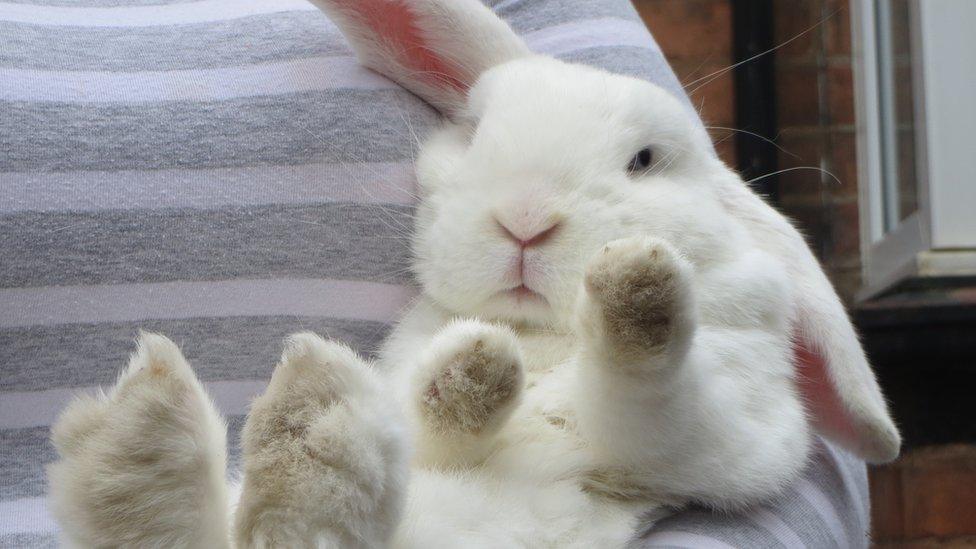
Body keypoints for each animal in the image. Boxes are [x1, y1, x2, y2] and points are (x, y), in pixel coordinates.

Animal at [47, 1, 900, 548]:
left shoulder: (718, 429)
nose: (524, 218)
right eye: (479, 130)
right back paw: (167, 431)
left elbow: (650, 388)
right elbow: (435, 413)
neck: (544, 329)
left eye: (645, 159)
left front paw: (638, 284)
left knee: (291, 528)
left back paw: (252, 429)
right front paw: (472, 367)